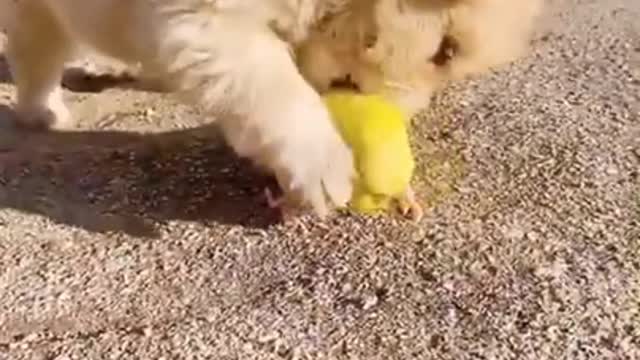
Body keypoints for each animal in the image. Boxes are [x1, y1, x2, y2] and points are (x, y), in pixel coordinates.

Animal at [1, 0, 540, 217]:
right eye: (445, 50)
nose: (392, 117)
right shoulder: (202, 17)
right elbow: (271, 82)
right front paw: (323, 168)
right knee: (37, 47)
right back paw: (43, 110)